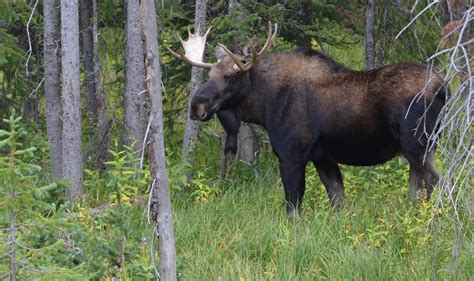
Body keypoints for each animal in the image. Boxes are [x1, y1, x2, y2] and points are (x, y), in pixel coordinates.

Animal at [168, 23, 446, 217]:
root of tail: (444, 87)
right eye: (210, 74)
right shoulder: (323, 157)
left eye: (230, 76)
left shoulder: (291, 155)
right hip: (415, 151)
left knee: (436, 181)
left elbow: (292, 208)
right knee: (417, 189)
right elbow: (337, 200)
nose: (197, 106)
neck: (265, 105)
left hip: (418, 146)